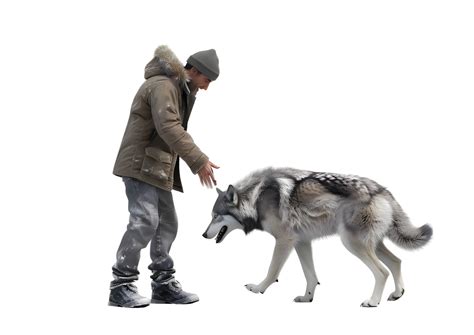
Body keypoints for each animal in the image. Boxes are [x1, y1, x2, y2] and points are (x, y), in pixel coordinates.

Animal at [202, 168, 432, 308]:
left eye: (215, 217)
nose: (203, 234)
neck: (256, 199)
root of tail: (381, 190)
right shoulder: (302, 242)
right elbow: (311, 275)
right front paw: (307, 298)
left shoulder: (284, 241)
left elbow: (272, 270)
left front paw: (258, 289)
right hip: (372, 245)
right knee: (397, 261)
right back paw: (397, 294)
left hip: (352, 244)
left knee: (382, 271)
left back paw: (373, 302)